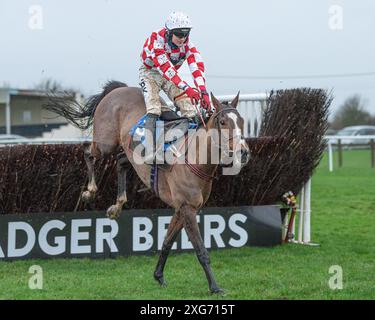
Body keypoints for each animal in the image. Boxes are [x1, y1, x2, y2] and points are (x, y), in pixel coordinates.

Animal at [46, 81, 250, 294]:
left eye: (241, 121)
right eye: (223, 122)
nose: (243, 153)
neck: (196, 158)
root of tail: (118, 89)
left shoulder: (182, 209)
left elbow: (167, 241)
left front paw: (159, 275)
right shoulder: (187, 208)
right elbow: (201, 250)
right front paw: (215, 287)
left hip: (129, 153)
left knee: (120, 161)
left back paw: (117, 205)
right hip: (105, 143)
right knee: (88, 151)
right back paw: (90, 191)